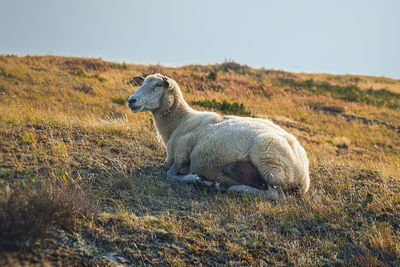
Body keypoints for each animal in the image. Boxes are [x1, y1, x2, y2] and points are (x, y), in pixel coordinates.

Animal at [127, 74, 310, 200]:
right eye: (142, 83)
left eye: (157, 85)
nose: (131, 100)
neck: (180, 121)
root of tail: (303, 173)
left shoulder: (181, 152)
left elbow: (170, 174)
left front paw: (198, 179)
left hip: (271, 164)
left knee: (275, 195)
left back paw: (234, 188)